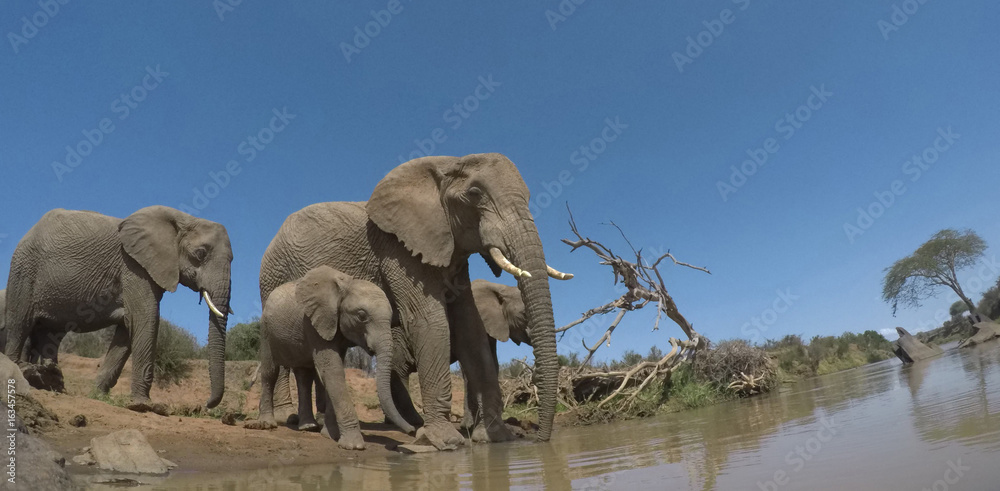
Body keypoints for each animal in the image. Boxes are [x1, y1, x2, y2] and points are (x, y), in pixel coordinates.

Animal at [4, 206, 233, 409]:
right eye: (200, 253)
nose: (205, 404)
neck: (183, 218)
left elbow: (126, 330)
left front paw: (98, 395)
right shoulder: (134, 267)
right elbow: (145, 319)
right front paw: (144, 405)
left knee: (50, 335)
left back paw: (52, 382)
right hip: (24, 269)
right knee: (19, 324)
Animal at [246, 266, 408, 450]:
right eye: (361, 316)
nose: (412, 431)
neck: (346, 286)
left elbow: (333, 372)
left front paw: (330, 435)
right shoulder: (314, 322)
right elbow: (333, 370)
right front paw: (353, 445)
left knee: (304, 376)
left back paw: (308, 427)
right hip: (266, 330)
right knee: (270, 371)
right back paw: (267, 424)